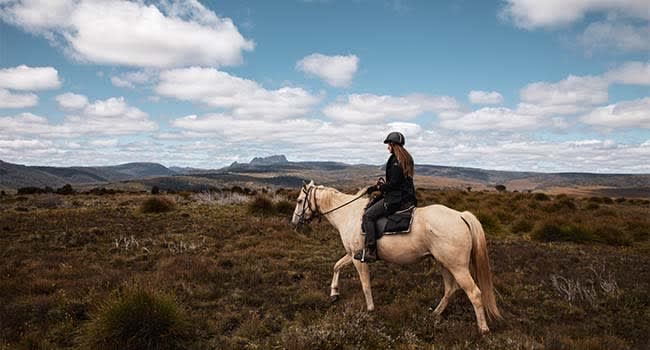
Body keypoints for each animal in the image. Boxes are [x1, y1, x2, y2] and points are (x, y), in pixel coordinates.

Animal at [290, 180, 502, 334]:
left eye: (300, 201)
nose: (294, 223)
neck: (347, 214)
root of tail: (460, 215)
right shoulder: (354, 254)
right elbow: (336, 266)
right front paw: (334, 293)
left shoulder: (359, 259)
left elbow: (365, 284)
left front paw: (370, 309)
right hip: (444, 263)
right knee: (450, 289)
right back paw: (435, 313)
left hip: (457, 267)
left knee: (474, 293)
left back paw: (483, 329)